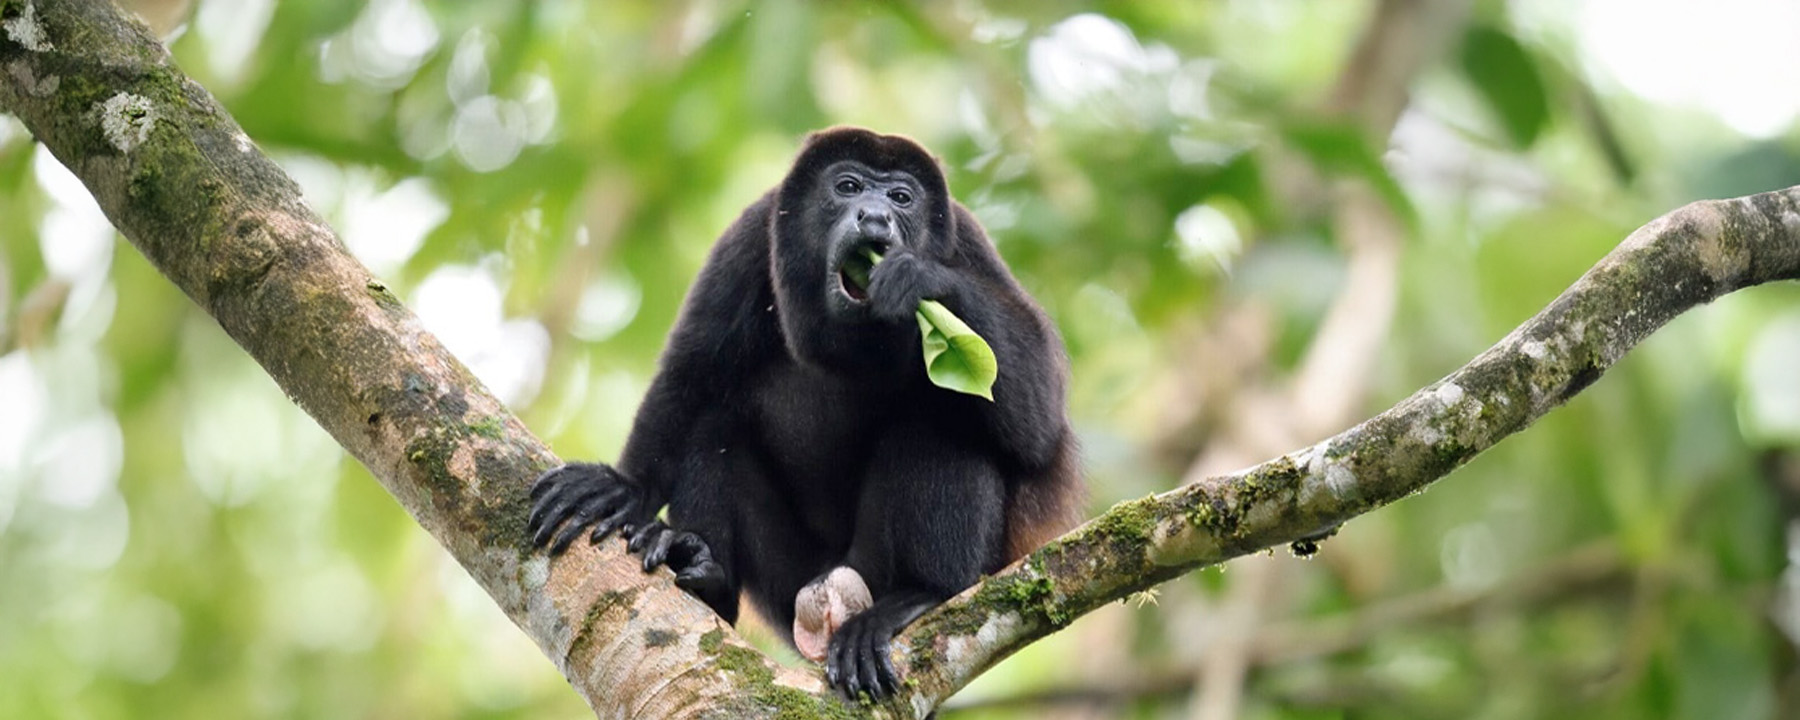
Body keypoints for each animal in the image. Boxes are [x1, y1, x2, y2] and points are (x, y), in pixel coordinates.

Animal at [527, 127, 1082, 699]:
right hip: (786, 582)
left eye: (901, 198)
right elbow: (691, 374)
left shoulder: (968, 241)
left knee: (940, 419)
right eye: (848, 186)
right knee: (714, 424)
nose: (875, 217)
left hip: (879, 565)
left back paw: (920, 595)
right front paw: (623, 487)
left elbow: (1038, 421)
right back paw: (707, 575)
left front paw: (922, 278)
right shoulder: (750, 234)